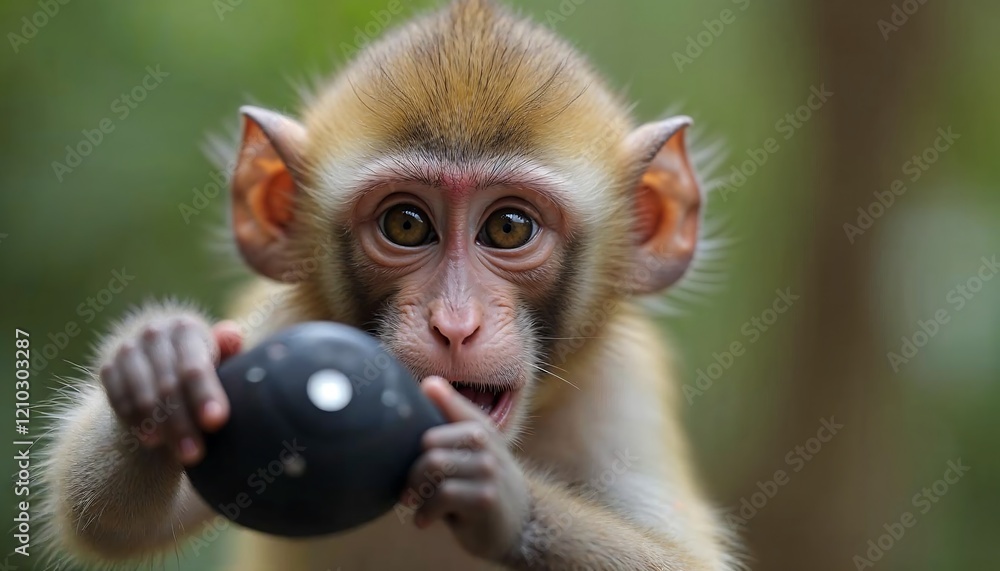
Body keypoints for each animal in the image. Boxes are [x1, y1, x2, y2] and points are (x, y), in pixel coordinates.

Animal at [39, 1, 741, 569]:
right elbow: (105, 519)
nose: (455, 323)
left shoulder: (620, 387)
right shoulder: (285, 323)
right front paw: (163, 367)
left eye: (508, 227)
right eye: (406, 224)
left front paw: (498, 493)